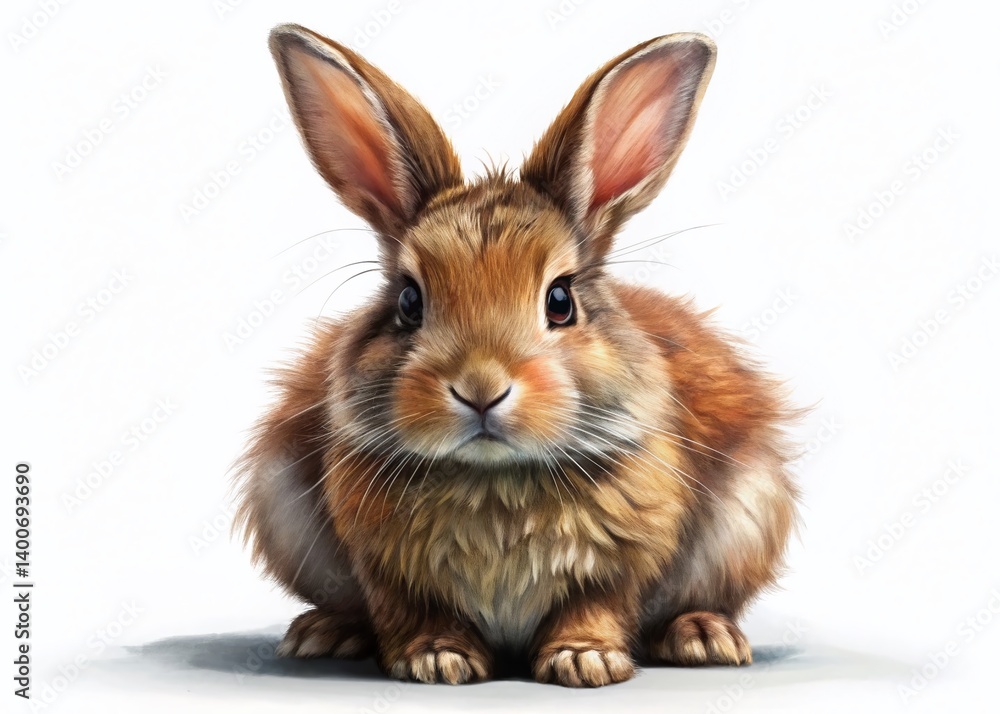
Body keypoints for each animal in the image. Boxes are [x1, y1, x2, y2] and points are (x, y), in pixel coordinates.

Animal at [233, 23, 800, 688]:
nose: (480, 388)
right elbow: (408, 607)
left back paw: (703, 636)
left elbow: (597, 603)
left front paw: (584, 659)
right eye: (408, 300)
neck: (494, 481)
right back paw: (326, 632)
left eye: (560, 300)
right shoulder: (383, 566)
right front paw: (437, 657)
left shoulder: (622, 558)